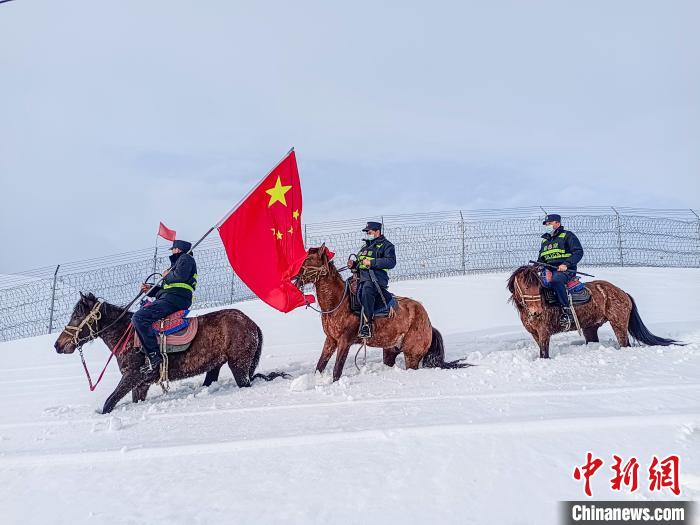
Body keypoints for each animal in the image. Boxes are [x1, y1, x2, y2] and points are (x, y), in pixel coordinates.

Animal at [292, 246, 468, 380]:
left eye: (308, 260)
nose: (293, 275)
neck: (338, 302)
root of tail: (429, 324)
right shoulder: (331, 340)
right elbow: (320, 366)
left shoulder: (344, 341)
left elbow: (337, 370)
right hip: (390, 351)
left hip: (412, 356)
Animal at [506, 264, 680, 358]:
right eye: (525, 286)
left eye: (538, 286)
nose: (536, 312)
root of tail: (622, 293)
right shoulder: (535, 334)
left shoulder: (544, 333)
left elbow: (544, 354)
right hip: (590, 328)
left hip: (618, 324)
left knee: (625, 343)